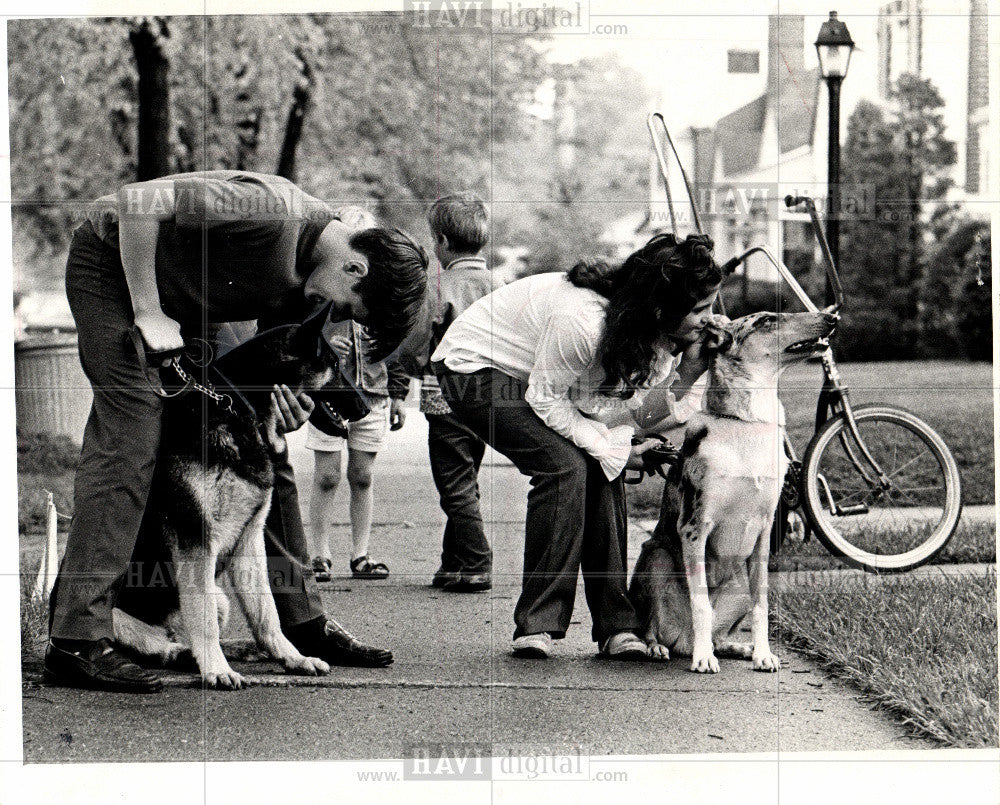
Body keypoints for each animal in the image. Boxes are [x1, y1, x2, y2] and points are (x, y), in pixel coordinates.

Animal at [111, 304, 368, 688]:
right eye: (335, 366)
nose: (367, 407)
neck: (236, 409)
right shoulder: (195, 540)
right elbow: (202, 617)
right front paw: (217, 670)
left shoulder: (250, 540)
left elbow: (267, 612)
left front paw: (292, 657)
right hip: (120, 617)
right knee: (158, 646)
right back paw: (194, 658)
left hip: (221, 600)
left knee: (188, 633)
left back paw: (236, 649)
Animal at [632, 310, 836, 672]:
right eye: (766, 320)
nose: (831, 315)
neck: (748, 423)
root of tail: (682, 640)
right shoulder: (694, 527)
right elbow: (700, 602)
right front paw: (703, 660)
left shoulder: (765, 530)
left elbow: (761, 605)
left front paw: (762, 654)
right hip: (656, 558)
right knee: (653, 626)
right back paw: (665, 649)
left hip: (739, 581)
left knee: (720, 634)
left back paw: (736, 648)